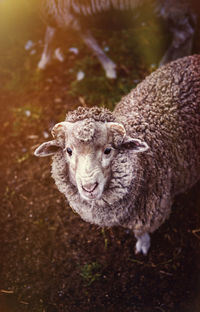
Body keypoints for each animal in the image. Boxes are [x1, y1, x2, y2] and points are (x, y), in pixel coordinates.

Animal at [34, 55, 200, 256]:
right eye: (68, 150)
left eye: (108, 150)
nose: (89, 187)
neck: (143, 166)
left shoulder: (151, 213)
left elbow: (141, 231)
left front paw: (142, 244)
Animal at [37, 0, 195, 78]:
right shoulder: (59, 16)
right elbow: (49, 35)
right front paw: (43, 64)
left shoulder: (66, 16)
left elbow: (91, 44)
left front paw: (110, 70)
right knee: (188, 30)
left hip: (168, 8)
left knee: (183, 34)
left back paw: (162, 65)